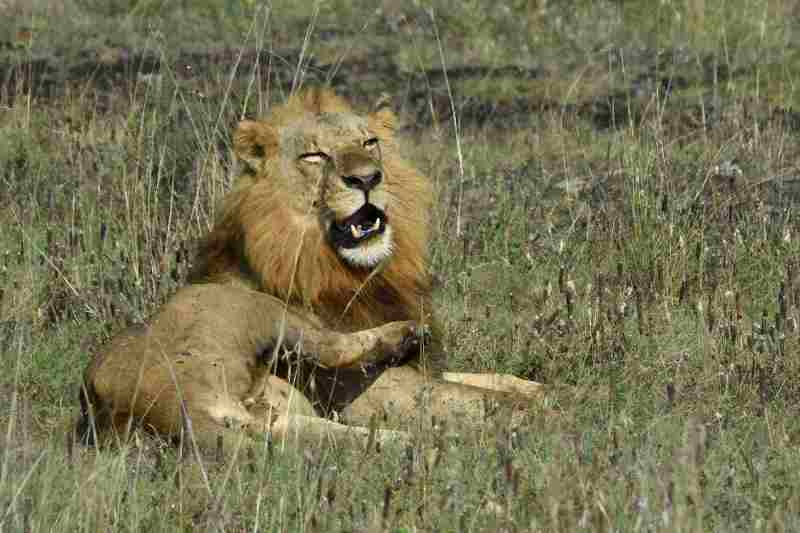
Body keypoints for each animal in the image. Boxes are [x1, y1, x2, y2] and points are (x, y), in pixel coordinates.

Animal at [78, 89, 548, 450]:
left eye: (369, 142)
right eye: (316, 155)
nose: (367, 179)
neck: (356, 274)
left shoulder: (423, 370)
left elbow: (500, 380)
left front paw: (536, 389)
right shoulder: (368, 390)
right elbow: (487, 400)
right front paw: (548, 412)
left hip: (274, 414)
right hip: (252, 311)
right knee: (333, 348)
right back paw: (403, 346)